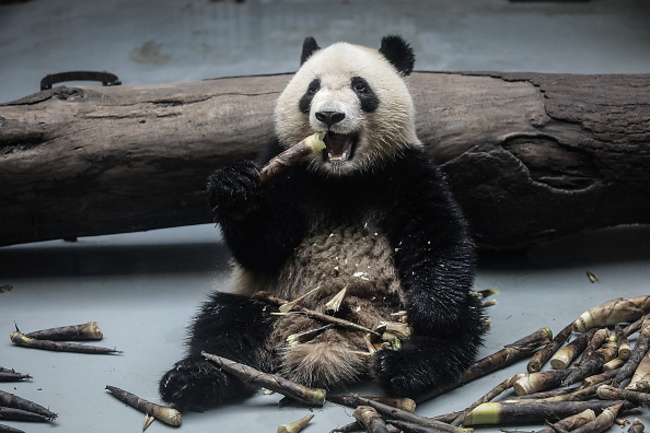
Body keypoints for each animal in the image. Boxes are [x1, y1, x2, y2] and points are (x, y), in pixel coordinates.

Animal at [157, 35, 484, 410]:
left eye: (360, 86)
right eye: (312, 89)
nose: (329, 115)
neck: (341, 178)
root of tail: (328, 332)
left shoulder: (405, 169)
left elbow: (437, 233)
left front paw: (431, 314)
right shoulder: (285, 168)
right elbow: (261, 246)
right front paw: (233, 188)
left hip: (394, 308)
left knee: (459, 329)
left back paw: (402, 364)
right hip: (270, 300)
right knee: (222, 326)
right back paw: (194, 379)